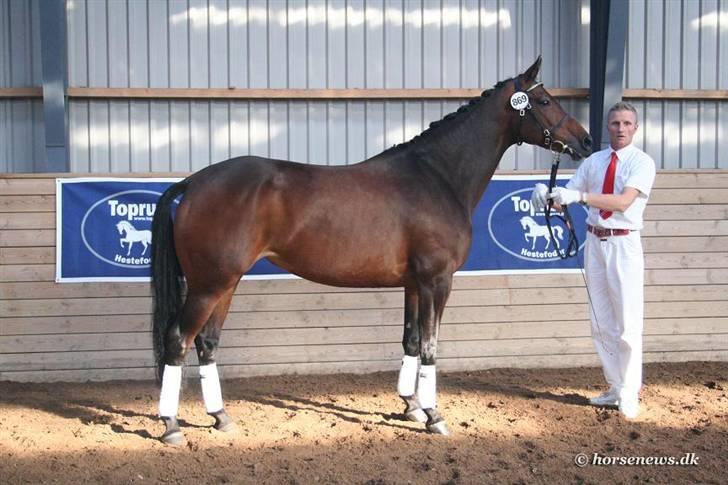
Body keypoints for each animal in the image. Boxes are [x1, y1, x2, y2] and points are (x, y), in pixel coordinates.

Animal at [152, 56, 592, 442]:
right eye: (545, 101)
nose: (586, 140)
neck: (437, 176)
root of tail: (194, 182)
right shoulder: (437, 281)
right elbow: (430, 347)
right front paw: (434, 416)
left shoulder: (414, 284)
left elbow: (411, 341)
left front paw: (411, 407)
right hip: (209, 285)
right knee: (178, 340)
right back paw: (171, 425)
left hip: (225, 284)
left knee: (207, 344)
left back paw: (221, 418)